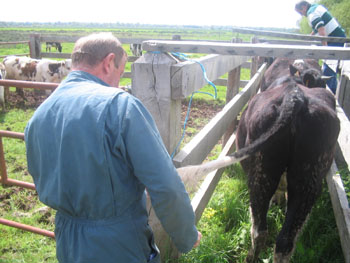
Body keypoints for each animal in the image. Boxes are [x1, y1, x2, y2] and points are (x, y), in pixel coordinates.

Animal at [235, 61, 340, 262]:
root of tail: (295, 98)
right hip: (307, 182)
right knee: (283, 241)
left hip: (262, 175)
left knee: (261, 231)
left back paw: (250, 257)